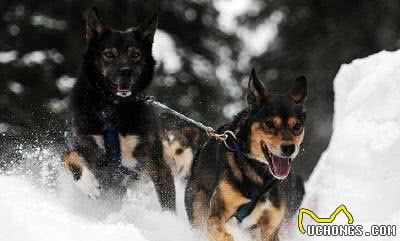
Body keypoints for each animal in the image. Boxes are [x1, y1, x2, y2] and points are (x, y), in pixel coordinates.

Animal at [63, 7, 174, 211]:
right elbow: (70, 157)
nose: (126, 71)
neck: (113, 107)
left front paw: (167, 219)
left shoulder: (156, 162)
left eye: (135, 54)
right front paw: (88, 184)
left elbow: (167, 202)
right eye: (109, 54)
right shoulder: (80, 142)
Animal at [184, 68, 306, 241]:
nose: (289, 148)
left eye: (297, 126)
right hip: (198, 205)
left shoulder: (270, 228)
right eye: (269, 123)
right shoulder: (217, 213)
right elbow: (219, 230)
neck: (260, 176)